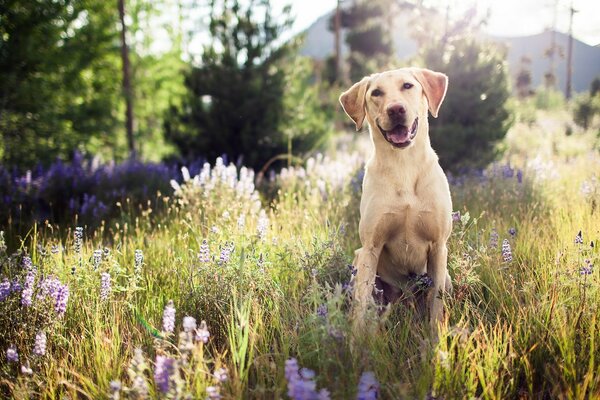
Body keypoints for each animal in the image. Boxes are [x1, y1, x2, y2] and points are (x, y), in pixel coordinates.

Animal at [340, 67, 452, 332]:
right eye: (376, 93)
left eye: (408, 86)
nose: (396, 109)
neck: (404, 165)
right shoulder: (370, 248)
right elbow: (361, 305)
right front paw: (355, 340)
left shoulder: (438, 246)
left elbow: (436, 304)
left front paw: (436, 338)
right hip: (359, 261)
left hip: (447, 275)